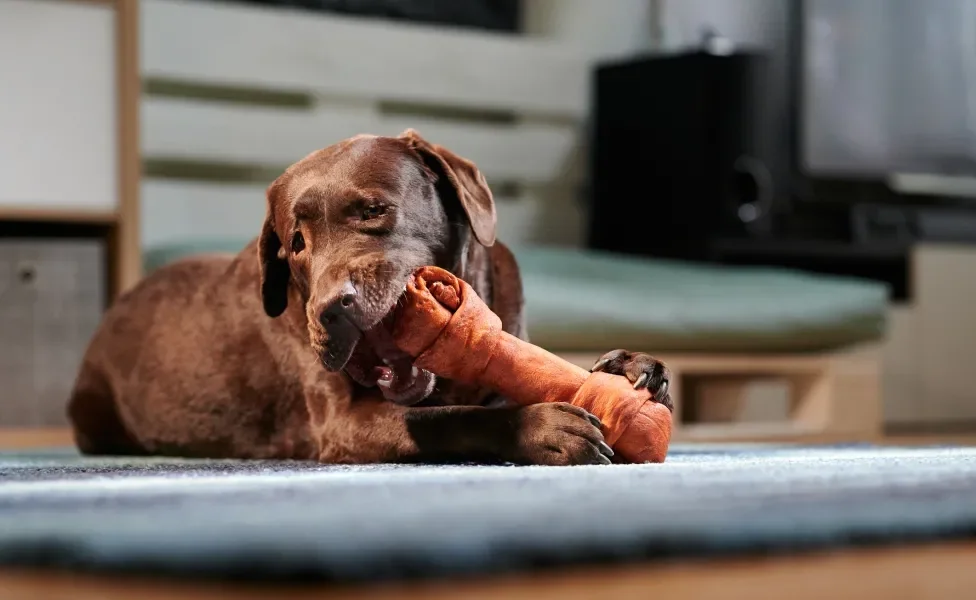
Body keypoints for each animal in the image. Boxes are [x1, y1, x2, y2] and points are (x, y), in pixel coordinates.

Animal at [68, 130, 672, 464]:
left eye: (374, 209)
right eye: (295, 243)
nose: (331, 308)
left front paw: (628, 367)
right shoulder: (342, 424)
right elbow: (449, 417)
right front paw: (543, 427)